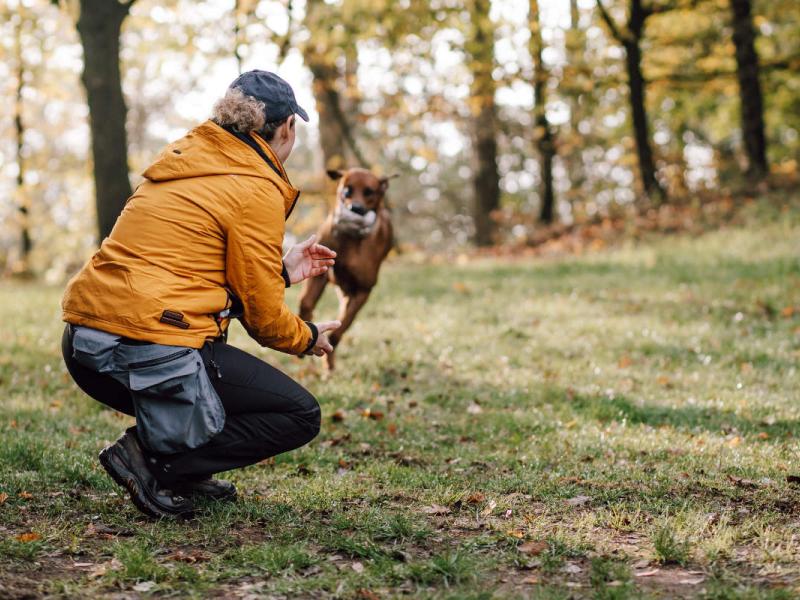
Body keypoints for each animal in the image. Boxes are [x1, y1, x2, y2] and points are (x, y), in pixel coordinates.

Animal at [298, 169, 396, 370]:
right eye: (346, 190)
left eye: (369, 192)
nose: (355, 209)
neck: (350, 239)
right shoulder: (320, 271)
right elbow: (306, 302)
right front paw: (306, 326)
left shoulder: (363, 290)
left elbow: (341, 327)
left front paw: (327, 347)